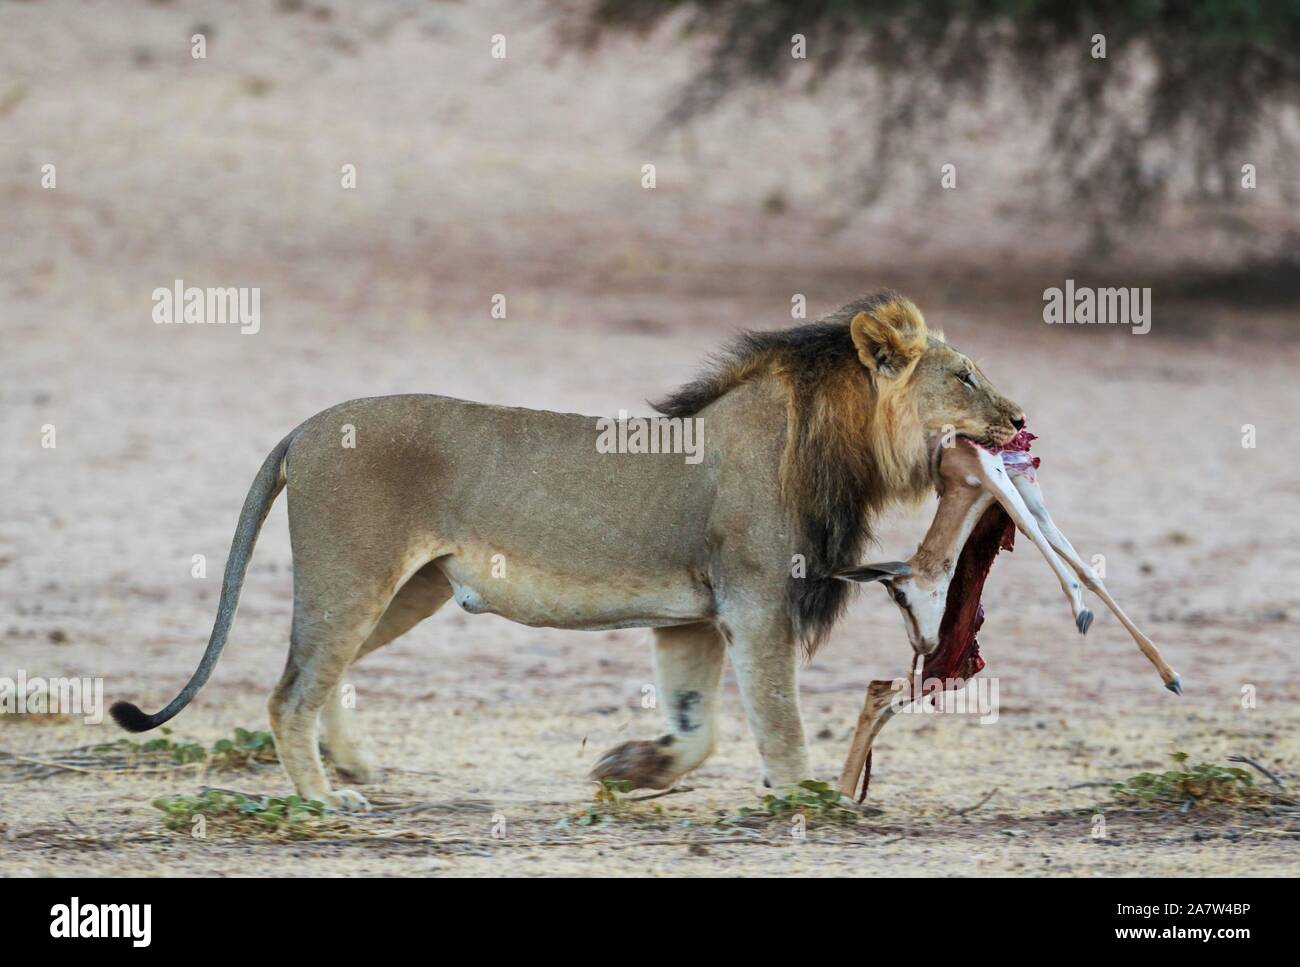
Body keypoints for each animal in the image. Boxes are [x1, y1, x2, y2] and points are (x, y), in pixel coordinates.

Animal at [111, 288, 1024, 805]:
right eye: (965, 376)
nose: (1019, 418)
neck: (835, 443)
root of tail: (301, 428)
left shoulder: (692, 617)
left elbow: (698, 726)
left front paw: (631, 768)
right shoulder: (757, 599)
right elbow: (780, 719)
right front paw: (806, 800)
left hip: (410, 588)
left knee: (323, 674)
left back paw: (354, 765)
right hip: (356, 573)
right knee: (289, 691)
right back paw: (323, 801)